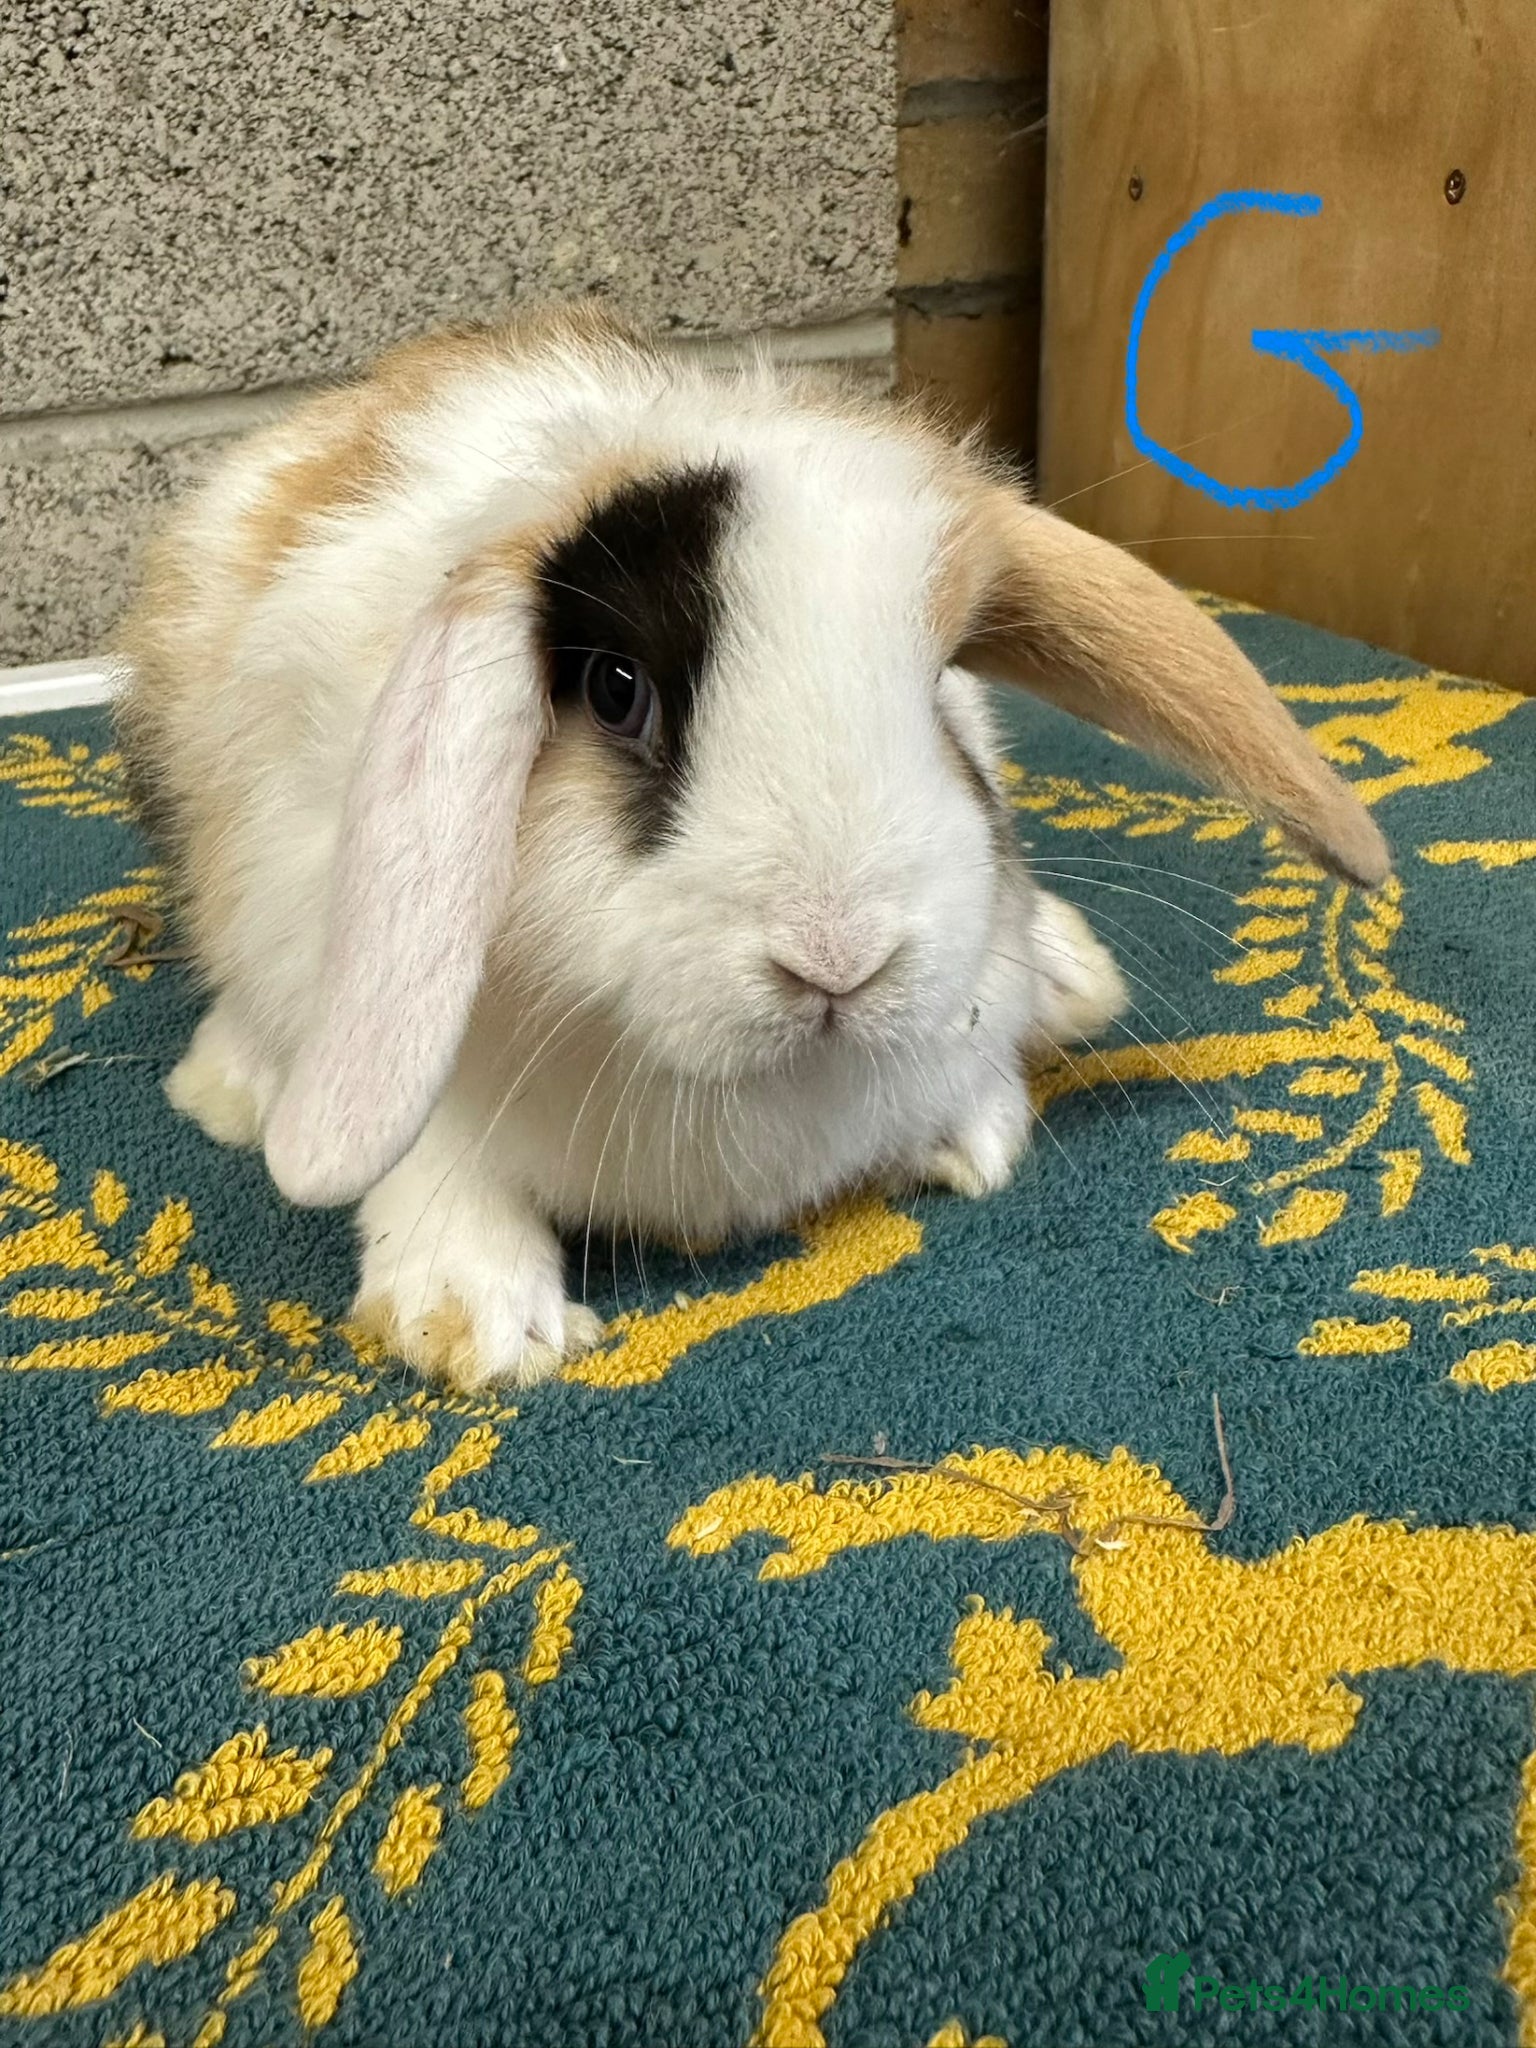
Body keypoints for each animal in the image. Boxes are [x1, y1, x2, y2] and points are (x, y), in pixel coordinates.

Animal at [115, 303, 1389, 1389]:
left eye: (940, 689)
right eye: (617, 689)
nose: (841, 960)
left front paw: (972, 1137)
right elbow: (438, 1174)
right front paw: (482, 1327)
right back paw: (229, 1092)